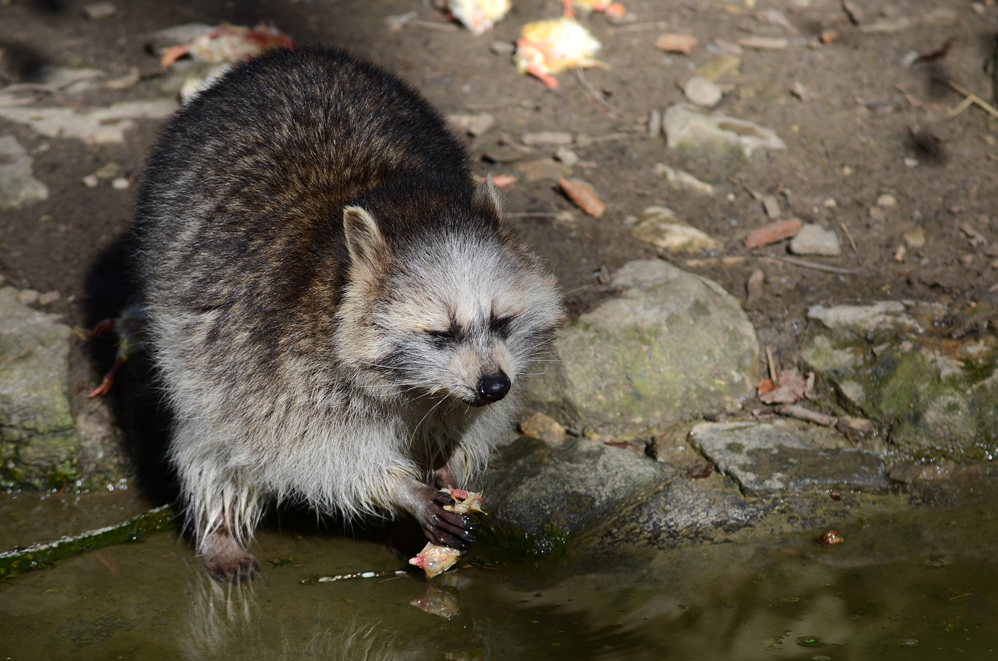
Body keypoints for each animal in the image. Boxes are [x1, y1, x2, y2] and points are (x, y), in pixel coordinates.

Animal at [135, 49, 564, 580]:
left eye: (501, 321)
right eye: (441, 334)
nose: (494, 387)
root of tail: (293, 56)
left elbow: (464, 421)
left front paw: (447, 456)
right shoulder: (277, 360)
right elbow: (311, 455)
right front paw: (400, 487)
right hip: (189, 340)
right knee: (210, 435)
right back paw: (220, 525)